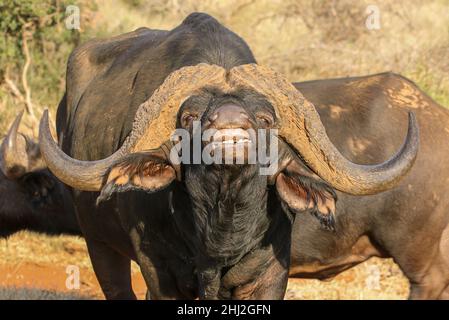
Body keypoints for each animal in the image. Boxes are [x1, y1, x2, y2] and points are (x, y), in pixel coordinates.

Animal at [36, 13, 416, 298]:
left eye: (266, 118)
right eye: (189, 116)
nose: (230, 119)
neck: (220, 230)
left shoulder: (270, 275)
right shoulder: (157, 271)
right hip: (99, 245)